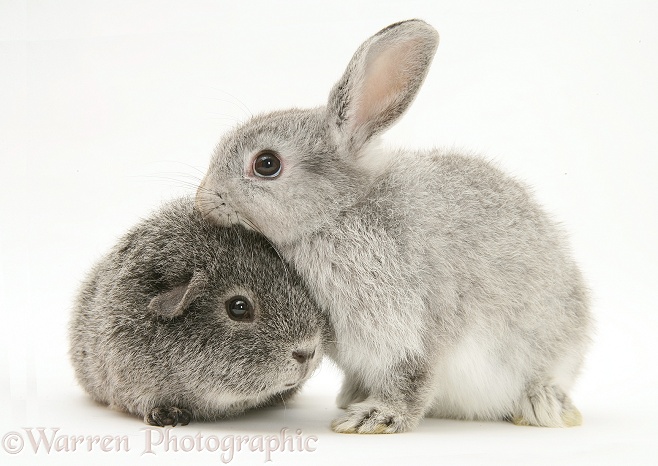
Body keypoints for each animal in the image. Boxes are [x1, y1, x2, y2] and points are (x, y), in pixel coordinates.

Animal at [195, 19, 588, 434]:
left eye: (267, 164)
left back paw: (545, 406)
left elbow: (414, 378)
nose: (204, 199)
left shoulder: (413, 330)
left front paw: (376, 418)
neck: (339, 213)